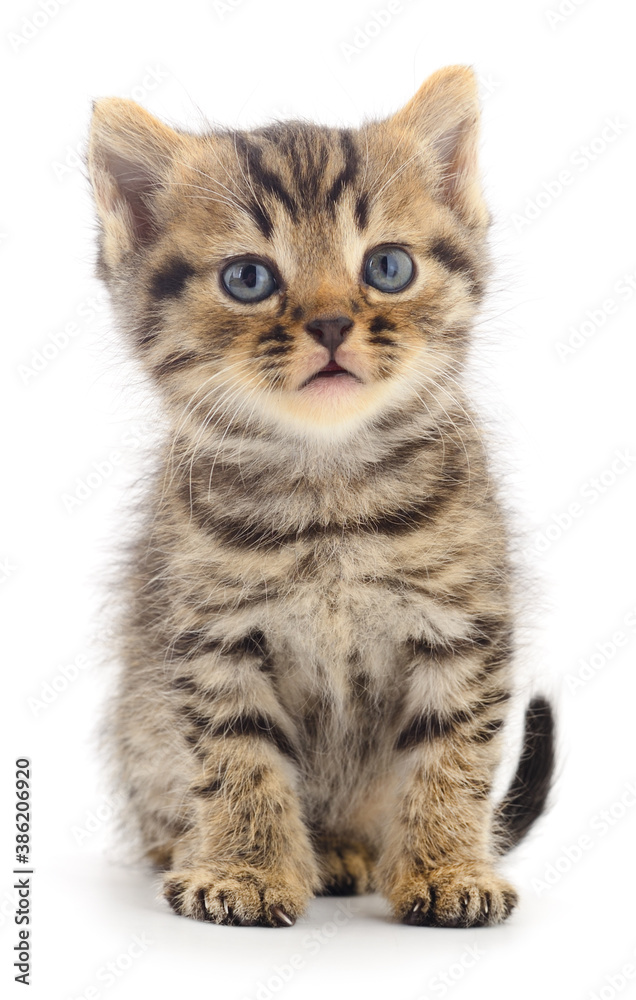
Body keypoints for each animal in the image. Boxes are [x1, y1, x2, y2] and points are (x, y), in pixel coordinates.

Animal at [87, 66, 556, 928]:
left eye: (388, 268)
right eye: (248, 278)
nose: (334, 323)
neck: (328, 493)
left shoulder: (460, 626)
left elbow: (453, 755)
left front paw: (447, 867)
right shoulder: (215, 638)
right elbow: (238, 758)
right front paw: (244, 869)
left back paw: (349, 850)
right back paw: (204, 849)